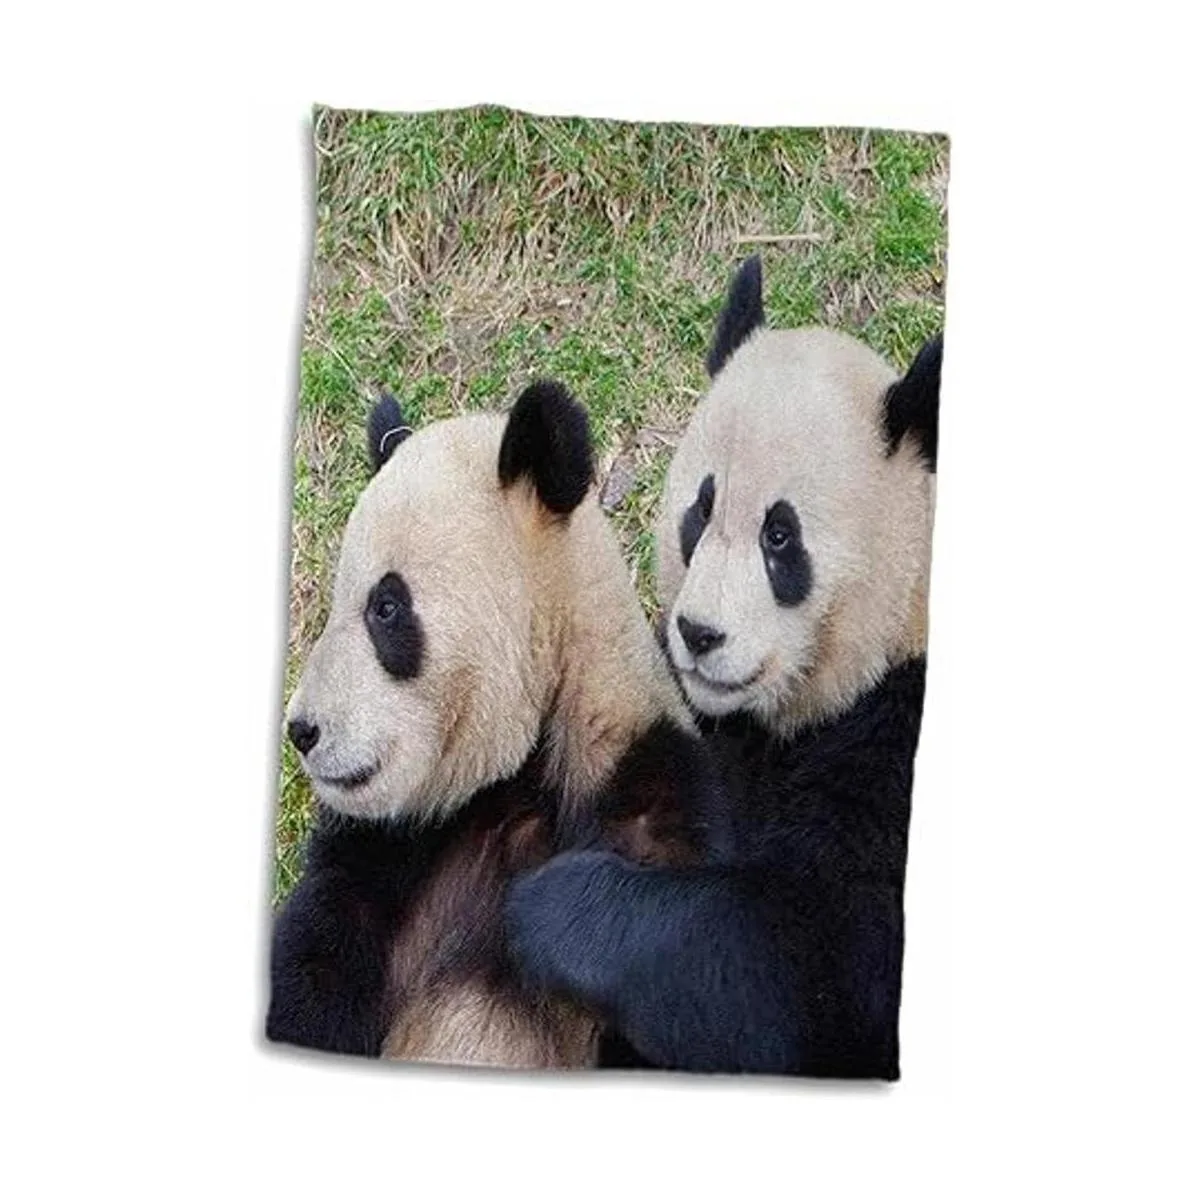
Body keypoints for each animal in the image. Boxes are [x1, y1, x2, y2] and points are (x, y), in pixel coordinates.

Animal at [267, 379, 729, 1067]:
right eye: (334, 605)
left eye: (385, 608)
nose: (302, 730)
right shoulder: (385, 854)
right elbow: (312, 972)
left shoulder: (653, 807)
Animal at [505, 257, 941, 1078]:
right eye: (699, 512)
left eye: (780, 537)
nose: (698, 633)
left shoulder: (894, 744)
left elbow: (799, 968)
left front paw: (544, 902)